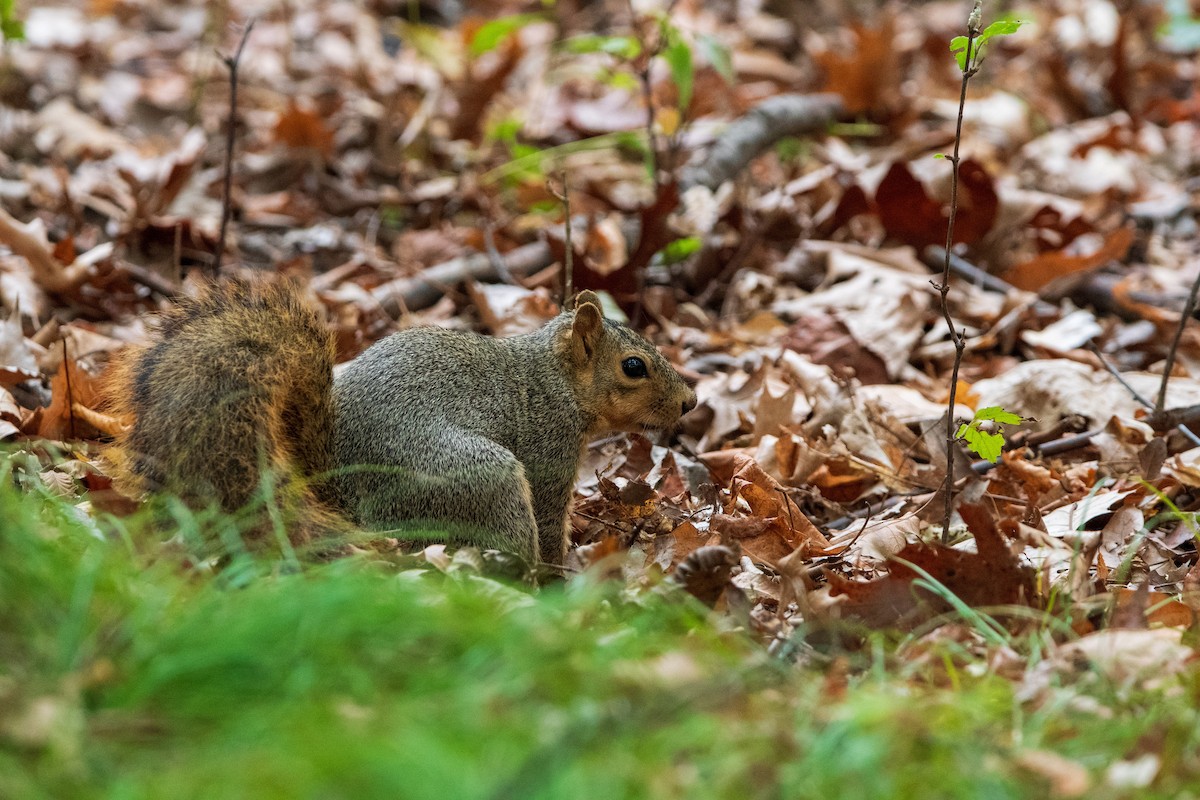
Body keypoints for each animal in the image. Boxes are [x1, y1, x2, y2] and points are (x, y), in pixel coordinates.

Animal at [106, 278, 697, 566]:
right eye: (634, 367)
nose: (690, 401)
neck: (553, 378)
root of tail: (343, 495)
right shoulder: (547, 450)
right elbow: (552, 520)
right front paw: (563, 566)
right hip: (483, 477)